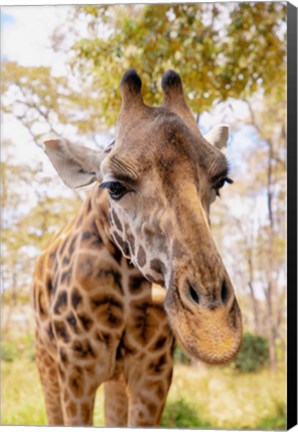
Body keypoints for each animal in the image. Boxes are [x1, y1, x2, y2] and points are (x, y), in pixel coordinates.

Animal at [32, 69, 242, 426]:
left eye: (221, 181)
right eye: (114, 187)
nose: (213, 333)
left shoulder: (153, 372)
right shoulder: (76, 371)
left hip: (115, 378)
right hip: (46, 360)